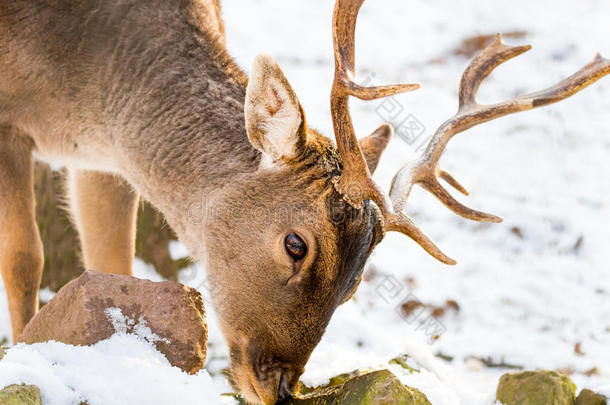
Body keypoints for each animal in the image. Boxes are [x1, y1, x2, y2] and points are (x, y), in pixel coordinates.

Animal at [1, 0, 608, 402]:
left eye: (356, 282)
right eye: (296, 245)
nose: (282, 387)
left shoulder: (101, 159)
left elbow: (112, 266)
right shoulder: (12, 124)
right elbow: (25, 257)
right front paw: (22, 352)